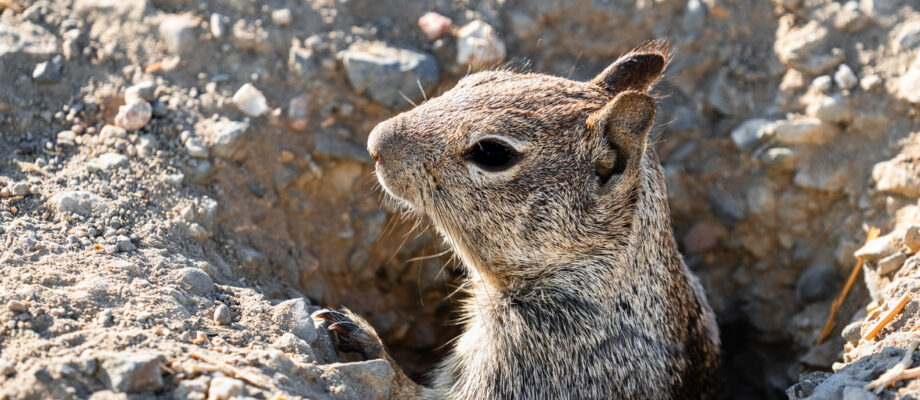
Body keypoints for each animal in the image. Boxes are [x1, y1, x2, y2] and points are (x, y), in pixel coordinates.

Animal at [313, 42, 721, 399]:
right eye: (476, 79)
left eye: (492, 152)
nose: (374, 143)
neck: (591, 271)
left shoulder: (537, 358)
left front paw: (367, 340)